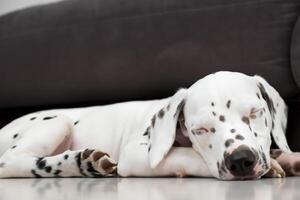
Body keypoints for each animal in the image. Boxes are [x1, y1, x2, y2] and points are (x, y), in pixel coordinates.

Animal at [0, 71, 300, 180]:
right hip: (56, 122)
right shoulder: (135, 155)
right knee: (14, 162)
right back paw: (79, 162)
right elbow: (188, 156)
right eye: (200, 129)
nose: (241, 161)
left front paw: (288, 157)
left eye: (255, 112)